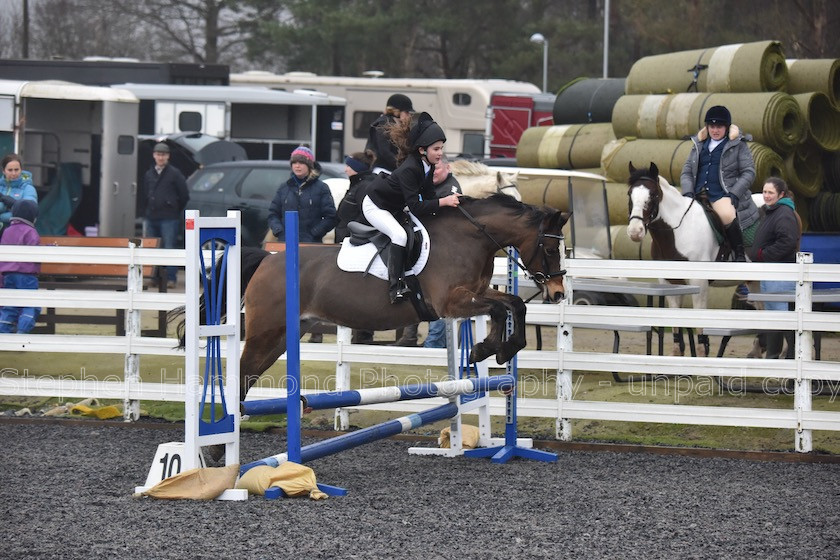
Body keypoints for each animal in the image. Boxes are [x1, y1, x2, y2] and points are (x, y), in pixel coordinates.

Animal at [177, 195, 572, 400]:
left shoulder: (473, 294)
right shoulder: (450, 302)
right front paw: (497, 349)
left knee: (248, 376)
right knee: (241, 374)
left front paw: (488, 350)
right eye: (551, 249)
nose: (557, 293)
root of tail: (268, 258)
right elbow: (505, 306)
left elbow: (510, 305)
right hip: (266, 331)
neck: (470, 236)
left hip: (283, 335)